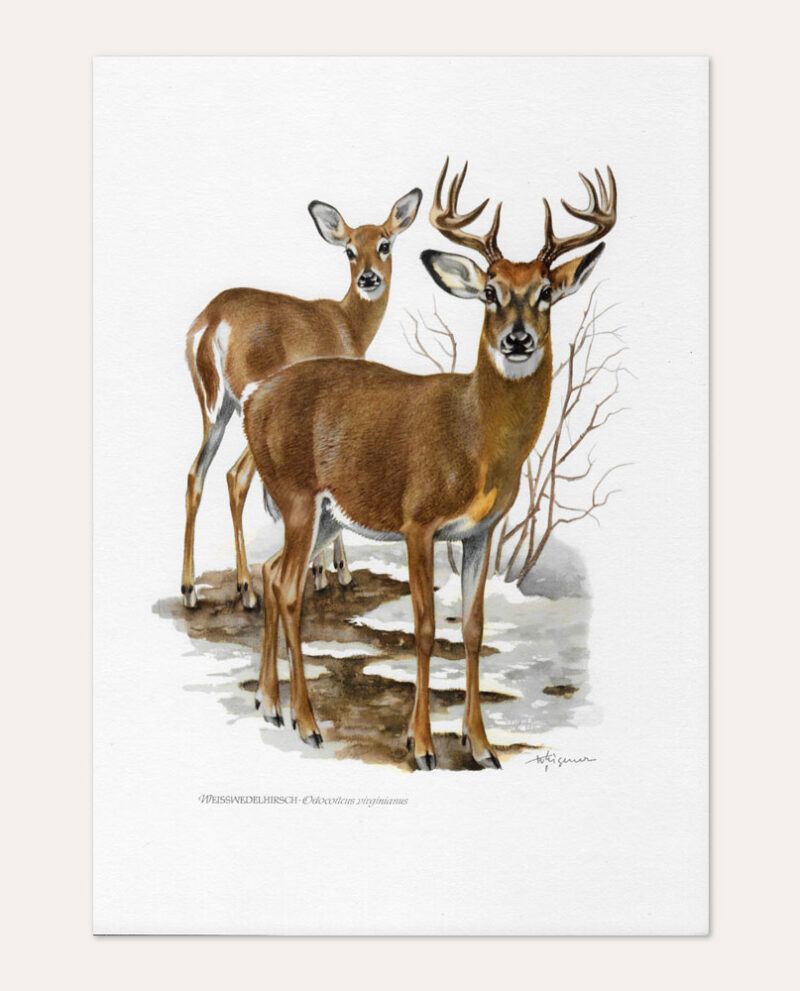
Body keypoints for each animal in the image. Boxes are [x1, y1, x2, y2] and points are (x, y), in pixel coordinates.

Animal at [180, 187, 422, 609]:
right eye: (349, 250)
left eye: (384, 244)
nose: (369, 278)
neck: (348, 325)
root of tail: (211, 323)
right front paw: (337, 571)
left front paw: (322, 571)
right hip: (250, 406)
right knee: (235, 476)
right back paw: (246, 589)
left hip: (215, 409)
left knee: (197, 474)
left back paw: (189, 590)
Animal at [242, 160, 617, 770]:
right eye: (489, 291)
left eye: (545, 294)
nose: (517, 339)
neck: (474, 438)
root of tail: (253, 400)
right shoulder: (418, 521)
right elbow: (423, 627)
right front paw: (420, 745)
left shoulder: (481, 531)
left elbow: (472, 627)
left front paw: (481, 744)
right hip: (297, 494)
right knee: (292, 588)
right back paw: (307, 723)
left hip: (325, 515)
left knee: (272, 573)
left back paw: (270, 704)